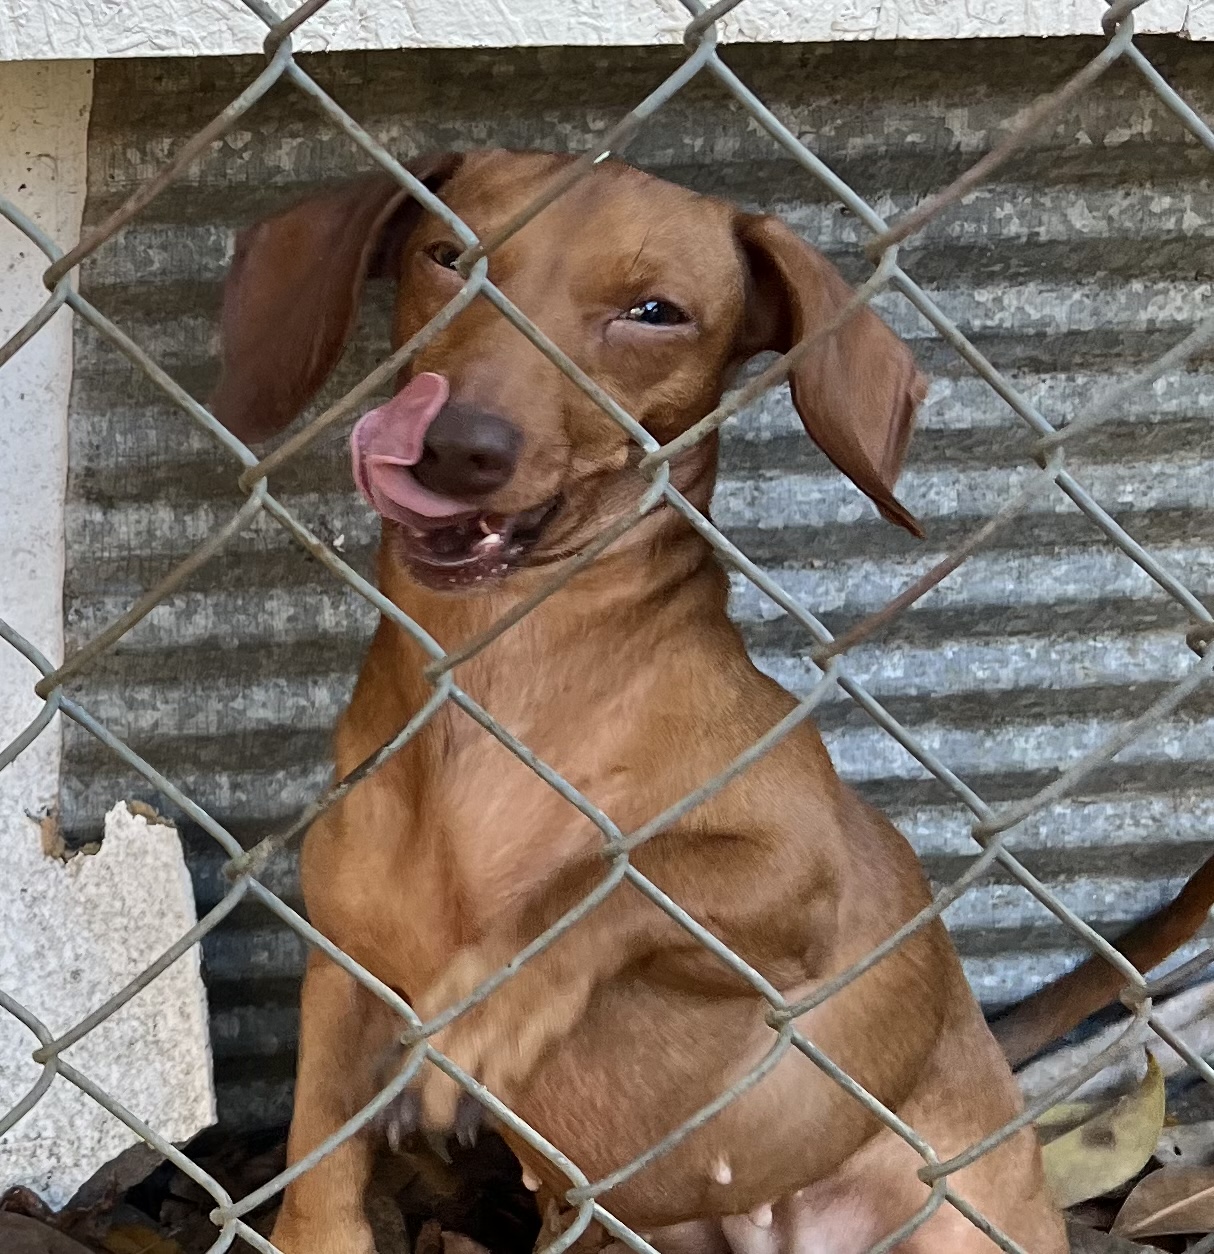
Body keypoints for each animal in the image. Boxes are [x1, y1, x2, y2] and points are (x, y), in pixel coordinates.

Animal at [210, 154, 1073, 1254]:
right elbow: (319, 1164)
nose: (456, 445)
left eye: (655, 312)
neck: (498, 681)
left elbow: (608, 881)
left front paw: (492, 1001)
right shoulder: (343, 971)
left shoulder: (799, 878)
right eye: (448, 254)